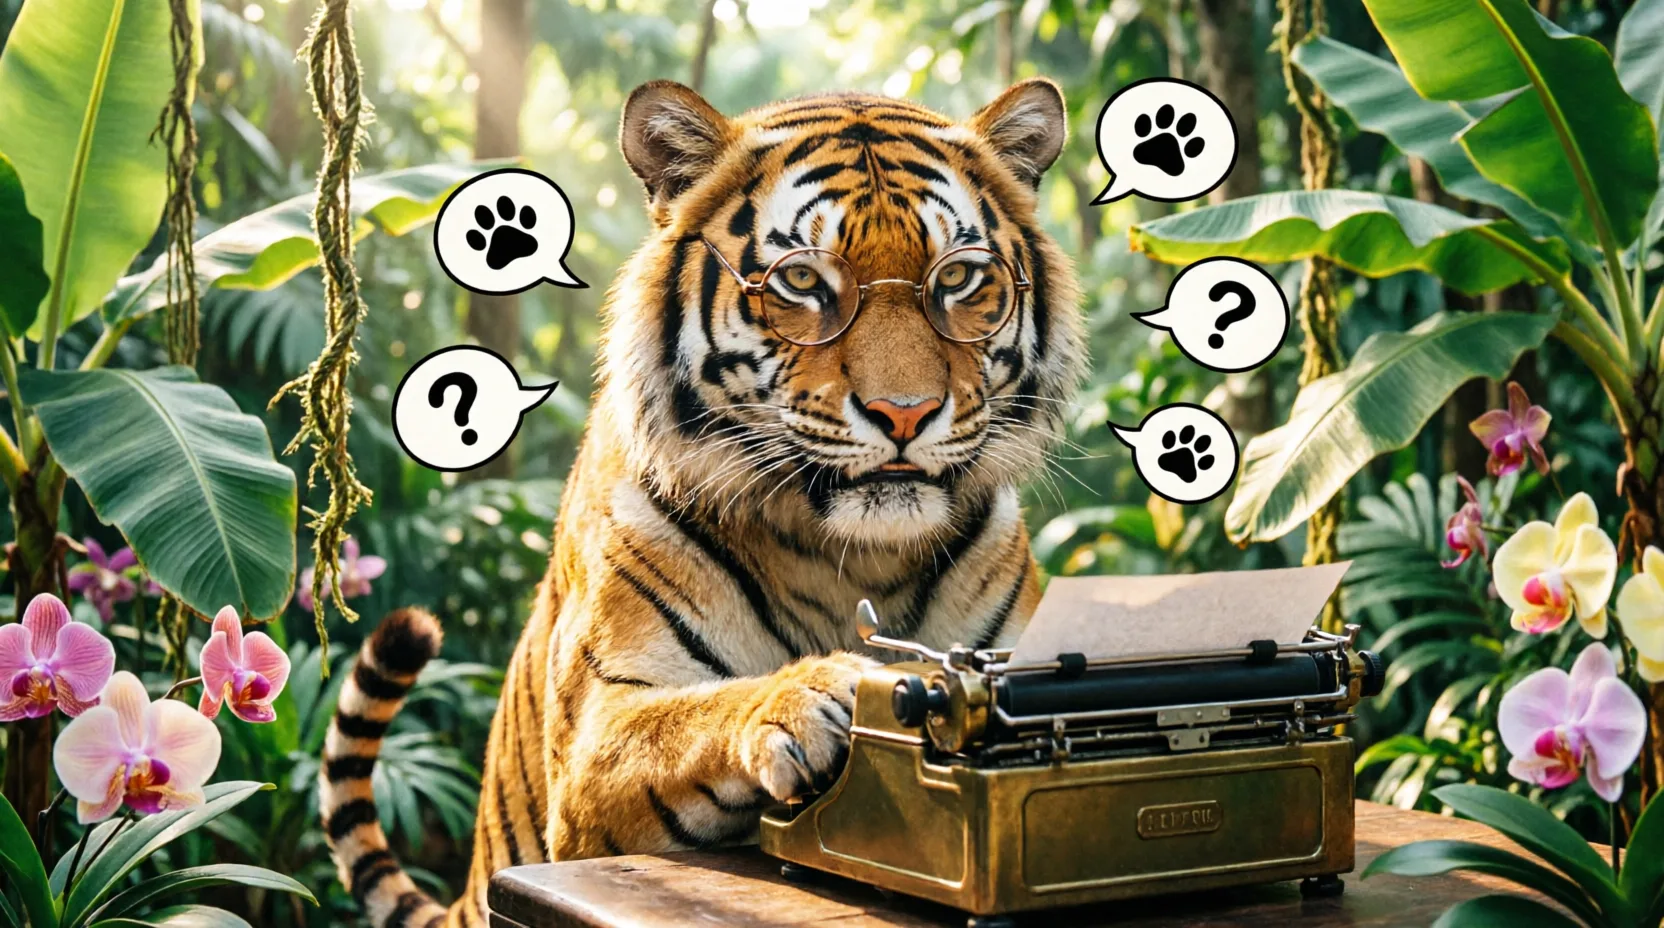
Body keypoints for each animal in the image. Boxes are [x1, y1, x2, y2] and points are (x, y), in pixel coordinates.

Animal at [318, 76, 1085, 928]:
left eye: (956, 278)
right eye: (803, 281)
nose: (905, 414)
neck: (853, 562)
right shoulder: (592, 744)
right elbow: (682, 720)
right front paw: (809, 695)